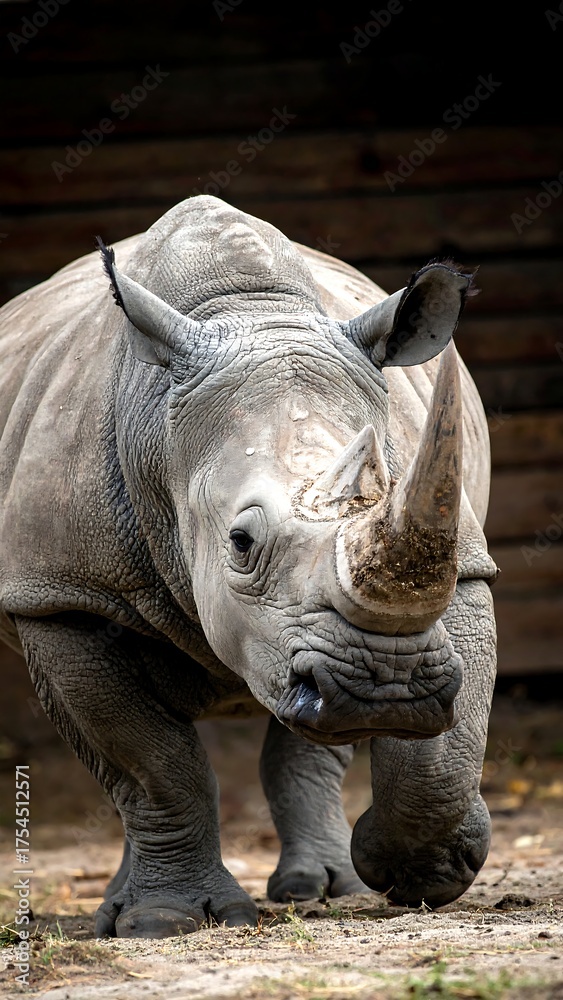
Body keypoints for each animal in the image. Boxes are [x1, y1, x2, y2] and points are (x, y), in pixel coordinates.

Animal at [0, 196, 497, 938]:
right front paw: (166, 921)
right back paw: (121, 913)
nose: (384, 686)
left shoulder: (455, 557)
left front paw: (426, 868)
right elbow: (152, 764)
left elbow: (444, 742)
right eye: (239, 542)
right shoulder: (62, 594)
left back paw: (325, 888)